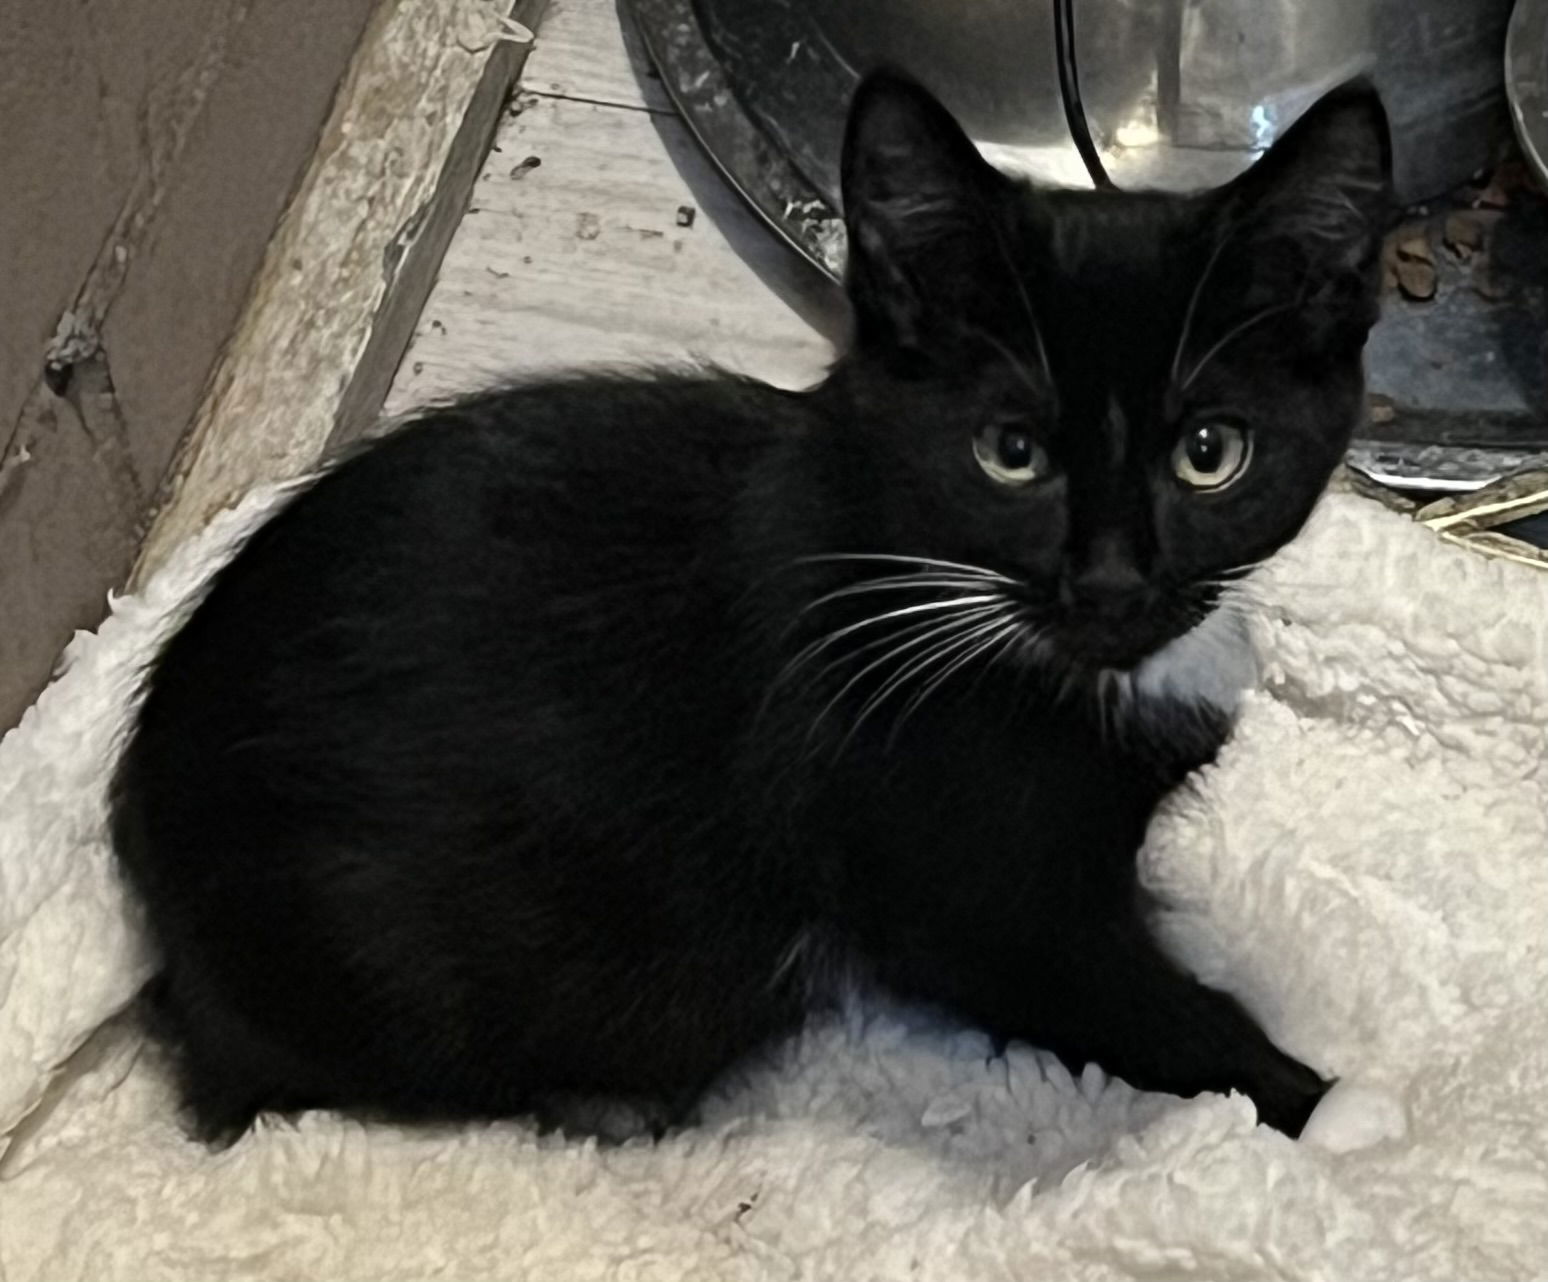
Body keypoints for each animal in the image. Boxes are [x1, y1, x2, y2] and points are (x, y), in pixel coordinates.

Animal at [109, 75, 1393, 1145]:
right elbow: (1123, 1000)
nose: (1114, 583)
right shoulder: (961, 871)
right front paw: (1328, 1108)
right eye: (1011, 453)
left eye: (1211, 454)